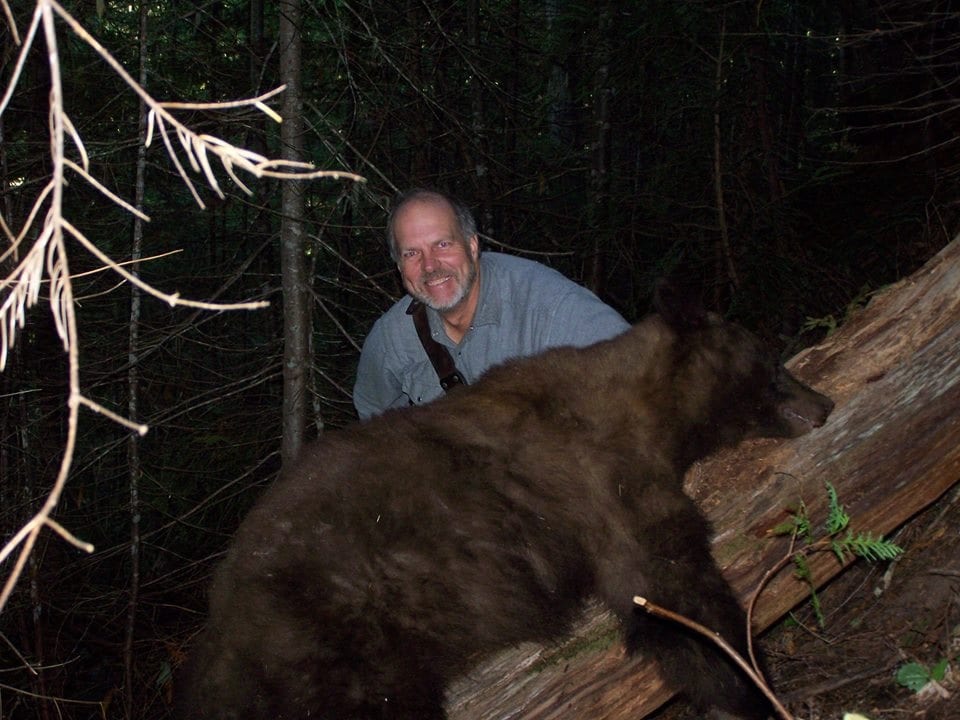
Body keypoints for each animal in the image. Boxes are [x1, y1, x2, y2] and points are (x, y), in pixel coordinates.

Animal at [178, 283, 834, 720]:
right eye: (771, 363)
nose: (824, 404)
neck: (650, 411)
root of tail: (217, 632)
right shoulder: (607, 484)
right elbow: (675, 592)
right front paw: (752, 687)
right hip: (333, 641)